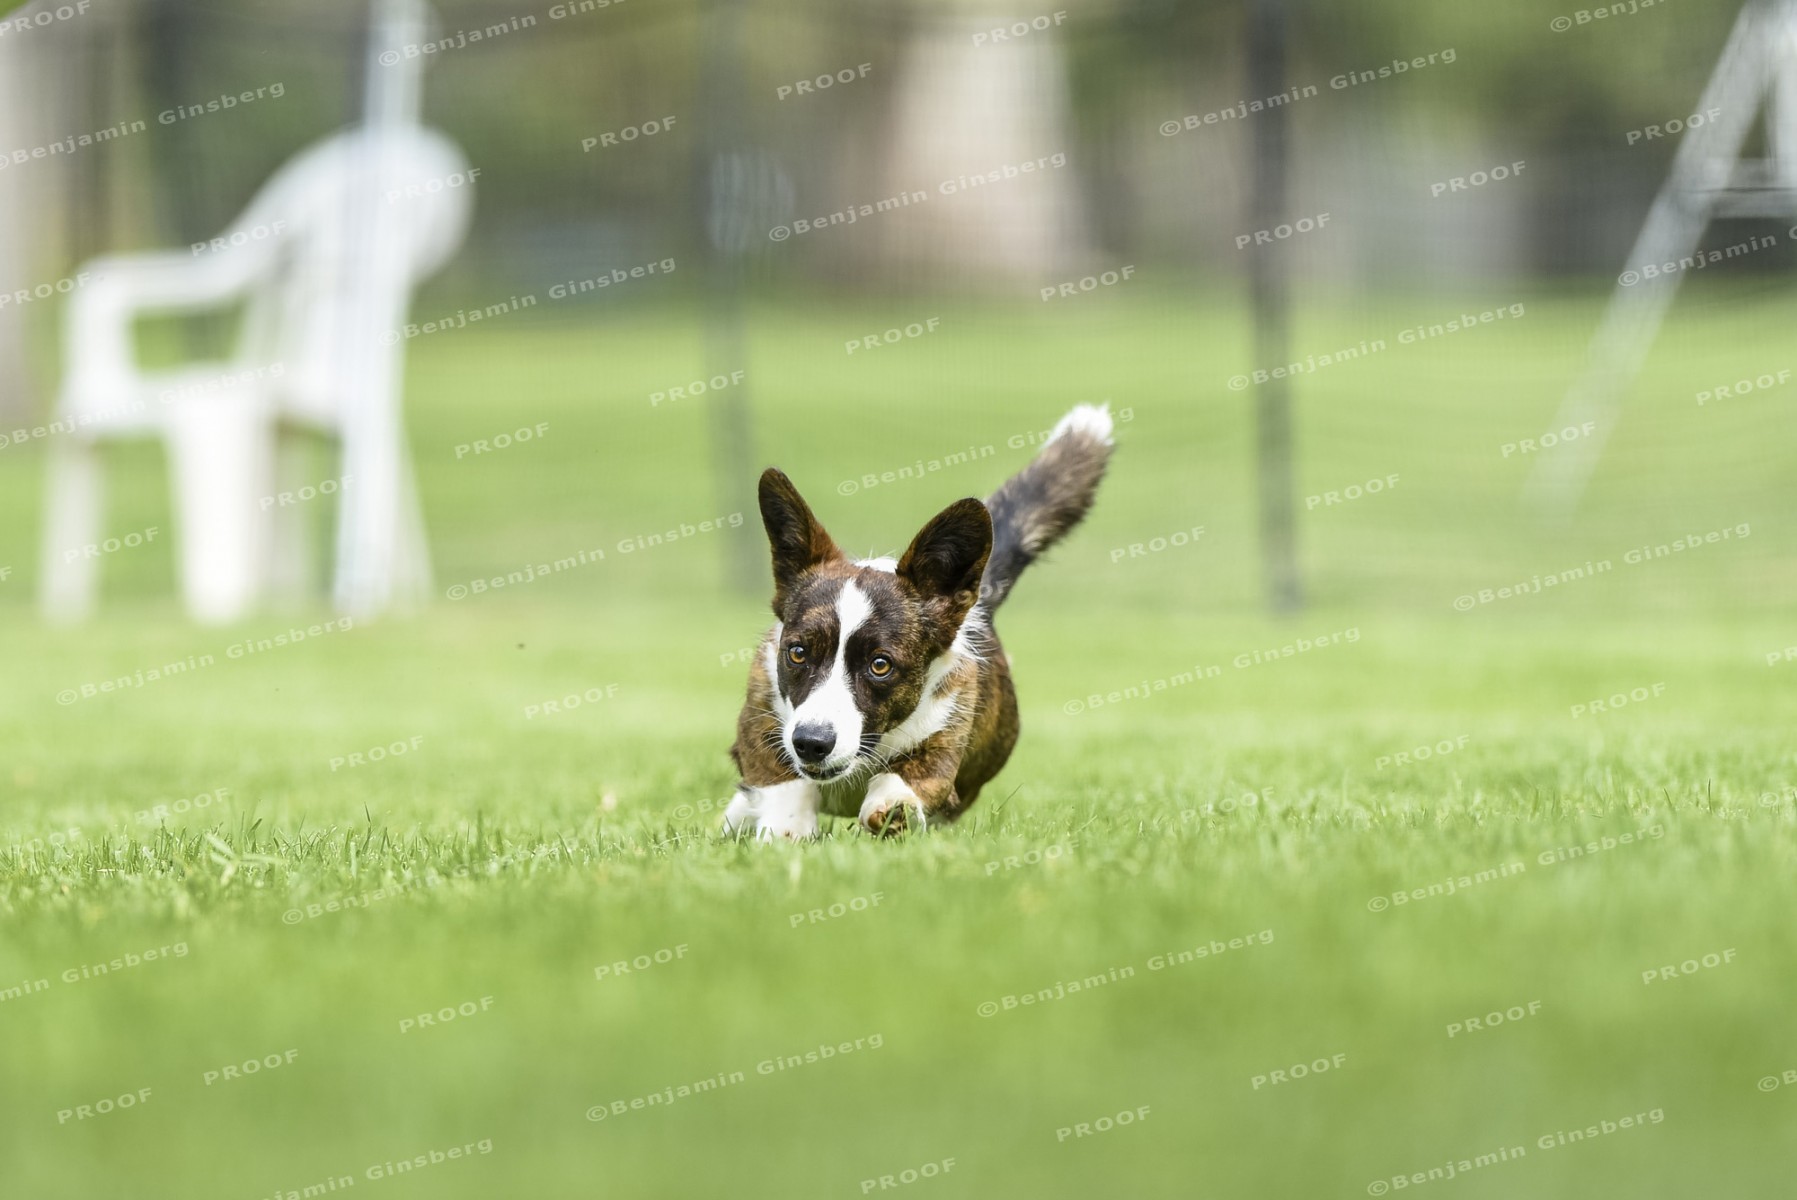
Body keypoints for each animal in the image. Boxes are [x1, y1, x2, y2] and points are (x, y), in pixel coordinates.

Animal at [721, 404, 1114, 840]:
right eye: (797, 653)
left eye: (880, 664)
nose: (811, 743)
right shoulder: (762, 719)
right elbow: (781, 782)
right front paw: (785, 830)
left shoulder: (946, 736)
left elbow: (910, 778)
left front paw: (893, 807)